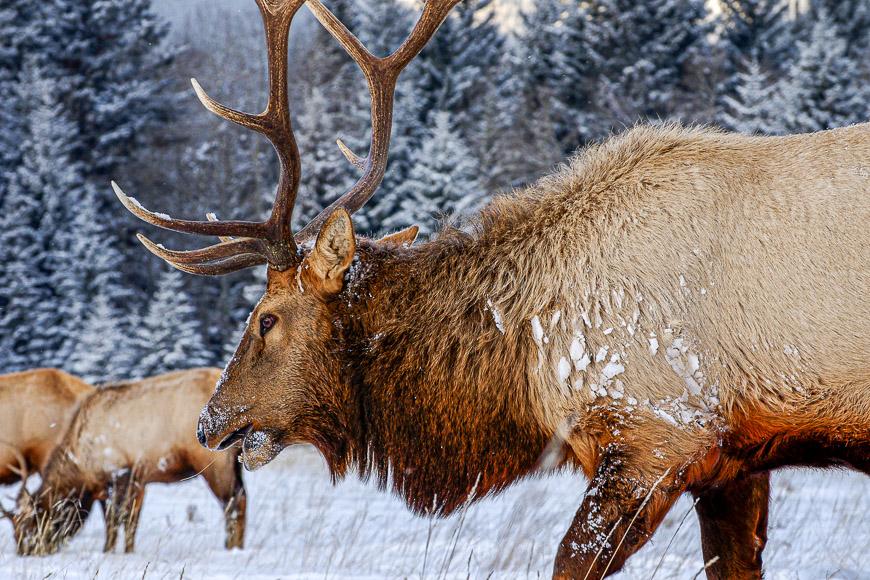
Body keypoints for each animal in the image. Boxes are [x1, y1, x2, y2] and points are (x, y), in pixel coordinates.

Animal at [11, 370, 245, 556]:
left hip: (214, 462)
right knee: (240, 497)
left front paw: (108, 550)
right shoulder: (134, 482)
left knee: (232, 501)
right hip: (234, 462)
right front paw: (128, 550)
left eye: (32, 523)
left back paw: (231, 546)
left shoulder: (118, 474)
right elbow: (130, 522)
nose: (26, 551)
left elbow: (114, 521)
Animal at [110, 2, 870, 576]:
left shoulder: (659, 431)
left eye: (266, 318)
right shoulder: (736, 458)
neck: (526, 369)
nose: (210, 422)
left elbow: (570, 560)